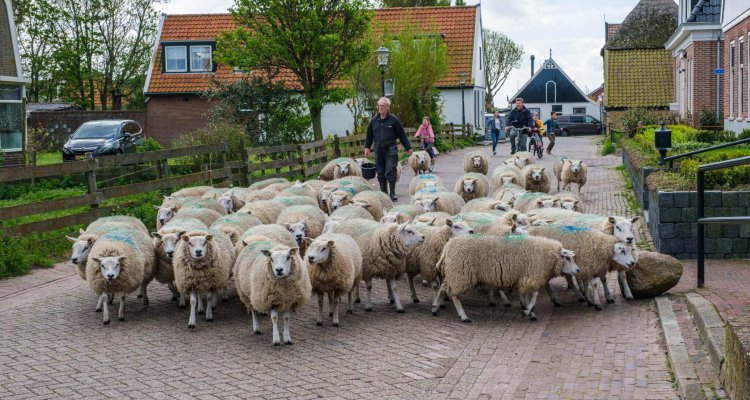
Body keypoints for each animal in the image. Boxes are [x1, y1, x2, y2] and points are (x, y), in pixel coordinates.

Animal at [428, 234, 580, 322]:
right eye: (567, 258)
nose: (578, 270)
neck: (547, 256)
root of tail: (447, 247)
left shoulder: (524, 278)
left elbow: (526, 295)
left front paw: (528, 311)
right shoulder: (531, 276)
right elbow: (535, 294)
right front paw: (528, 310)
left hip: (454, 274)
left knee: (443, 288)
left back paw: (435, 308)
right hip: (461, 275)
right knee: (454, 295)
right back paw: (463, 316)